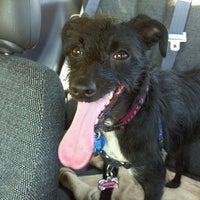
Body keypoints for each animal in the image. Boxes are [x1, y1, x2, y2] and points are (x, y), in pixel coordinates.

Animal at [58, 14, 200, 199]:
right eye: (76, 51)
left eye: (121, 55)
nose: (80, 89)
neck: (127, 119)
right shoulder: (110, 165)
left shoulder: (155, 179)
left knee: (182, 161)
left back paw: (175, 182)